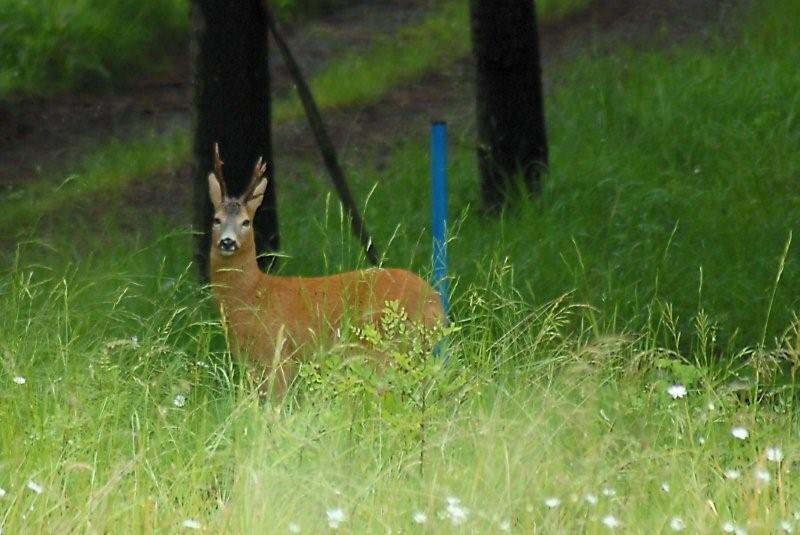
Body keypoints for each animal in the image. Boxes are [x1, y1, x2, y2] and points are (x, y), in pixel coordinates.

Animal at [206, 144, 446, 396]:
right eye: (216, 219)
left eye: (246, 222)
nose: (227, 242)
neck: (251, 294)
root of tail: (436, 304)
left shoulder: (277, 351)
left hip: (385, 345)